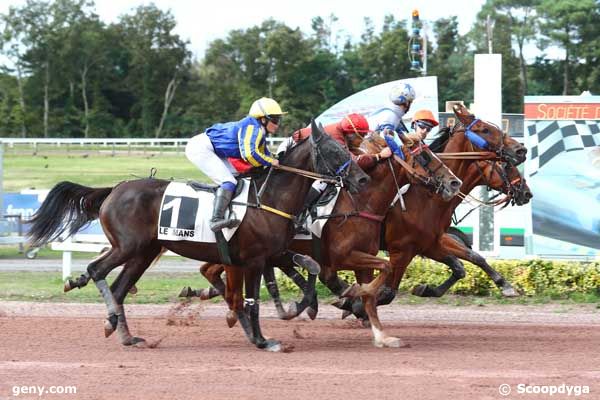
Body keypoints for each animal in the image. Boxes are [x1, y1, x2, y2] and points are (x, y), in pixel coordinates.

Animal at [28, 120, 368, 352]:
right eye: (334, 150)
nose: (363, 179)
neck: (269, 198)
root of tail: (115, 189)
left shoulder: (274, 253)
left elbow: (310, 267)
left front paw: (306, 306)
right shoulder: (254, 259)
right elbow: (252, 300)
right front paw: (262, 339)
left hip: (143, 253)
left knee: (119, 287)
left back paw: (127, 335)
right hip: (127, 246)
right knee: (96, 270)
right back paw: (107, 316)